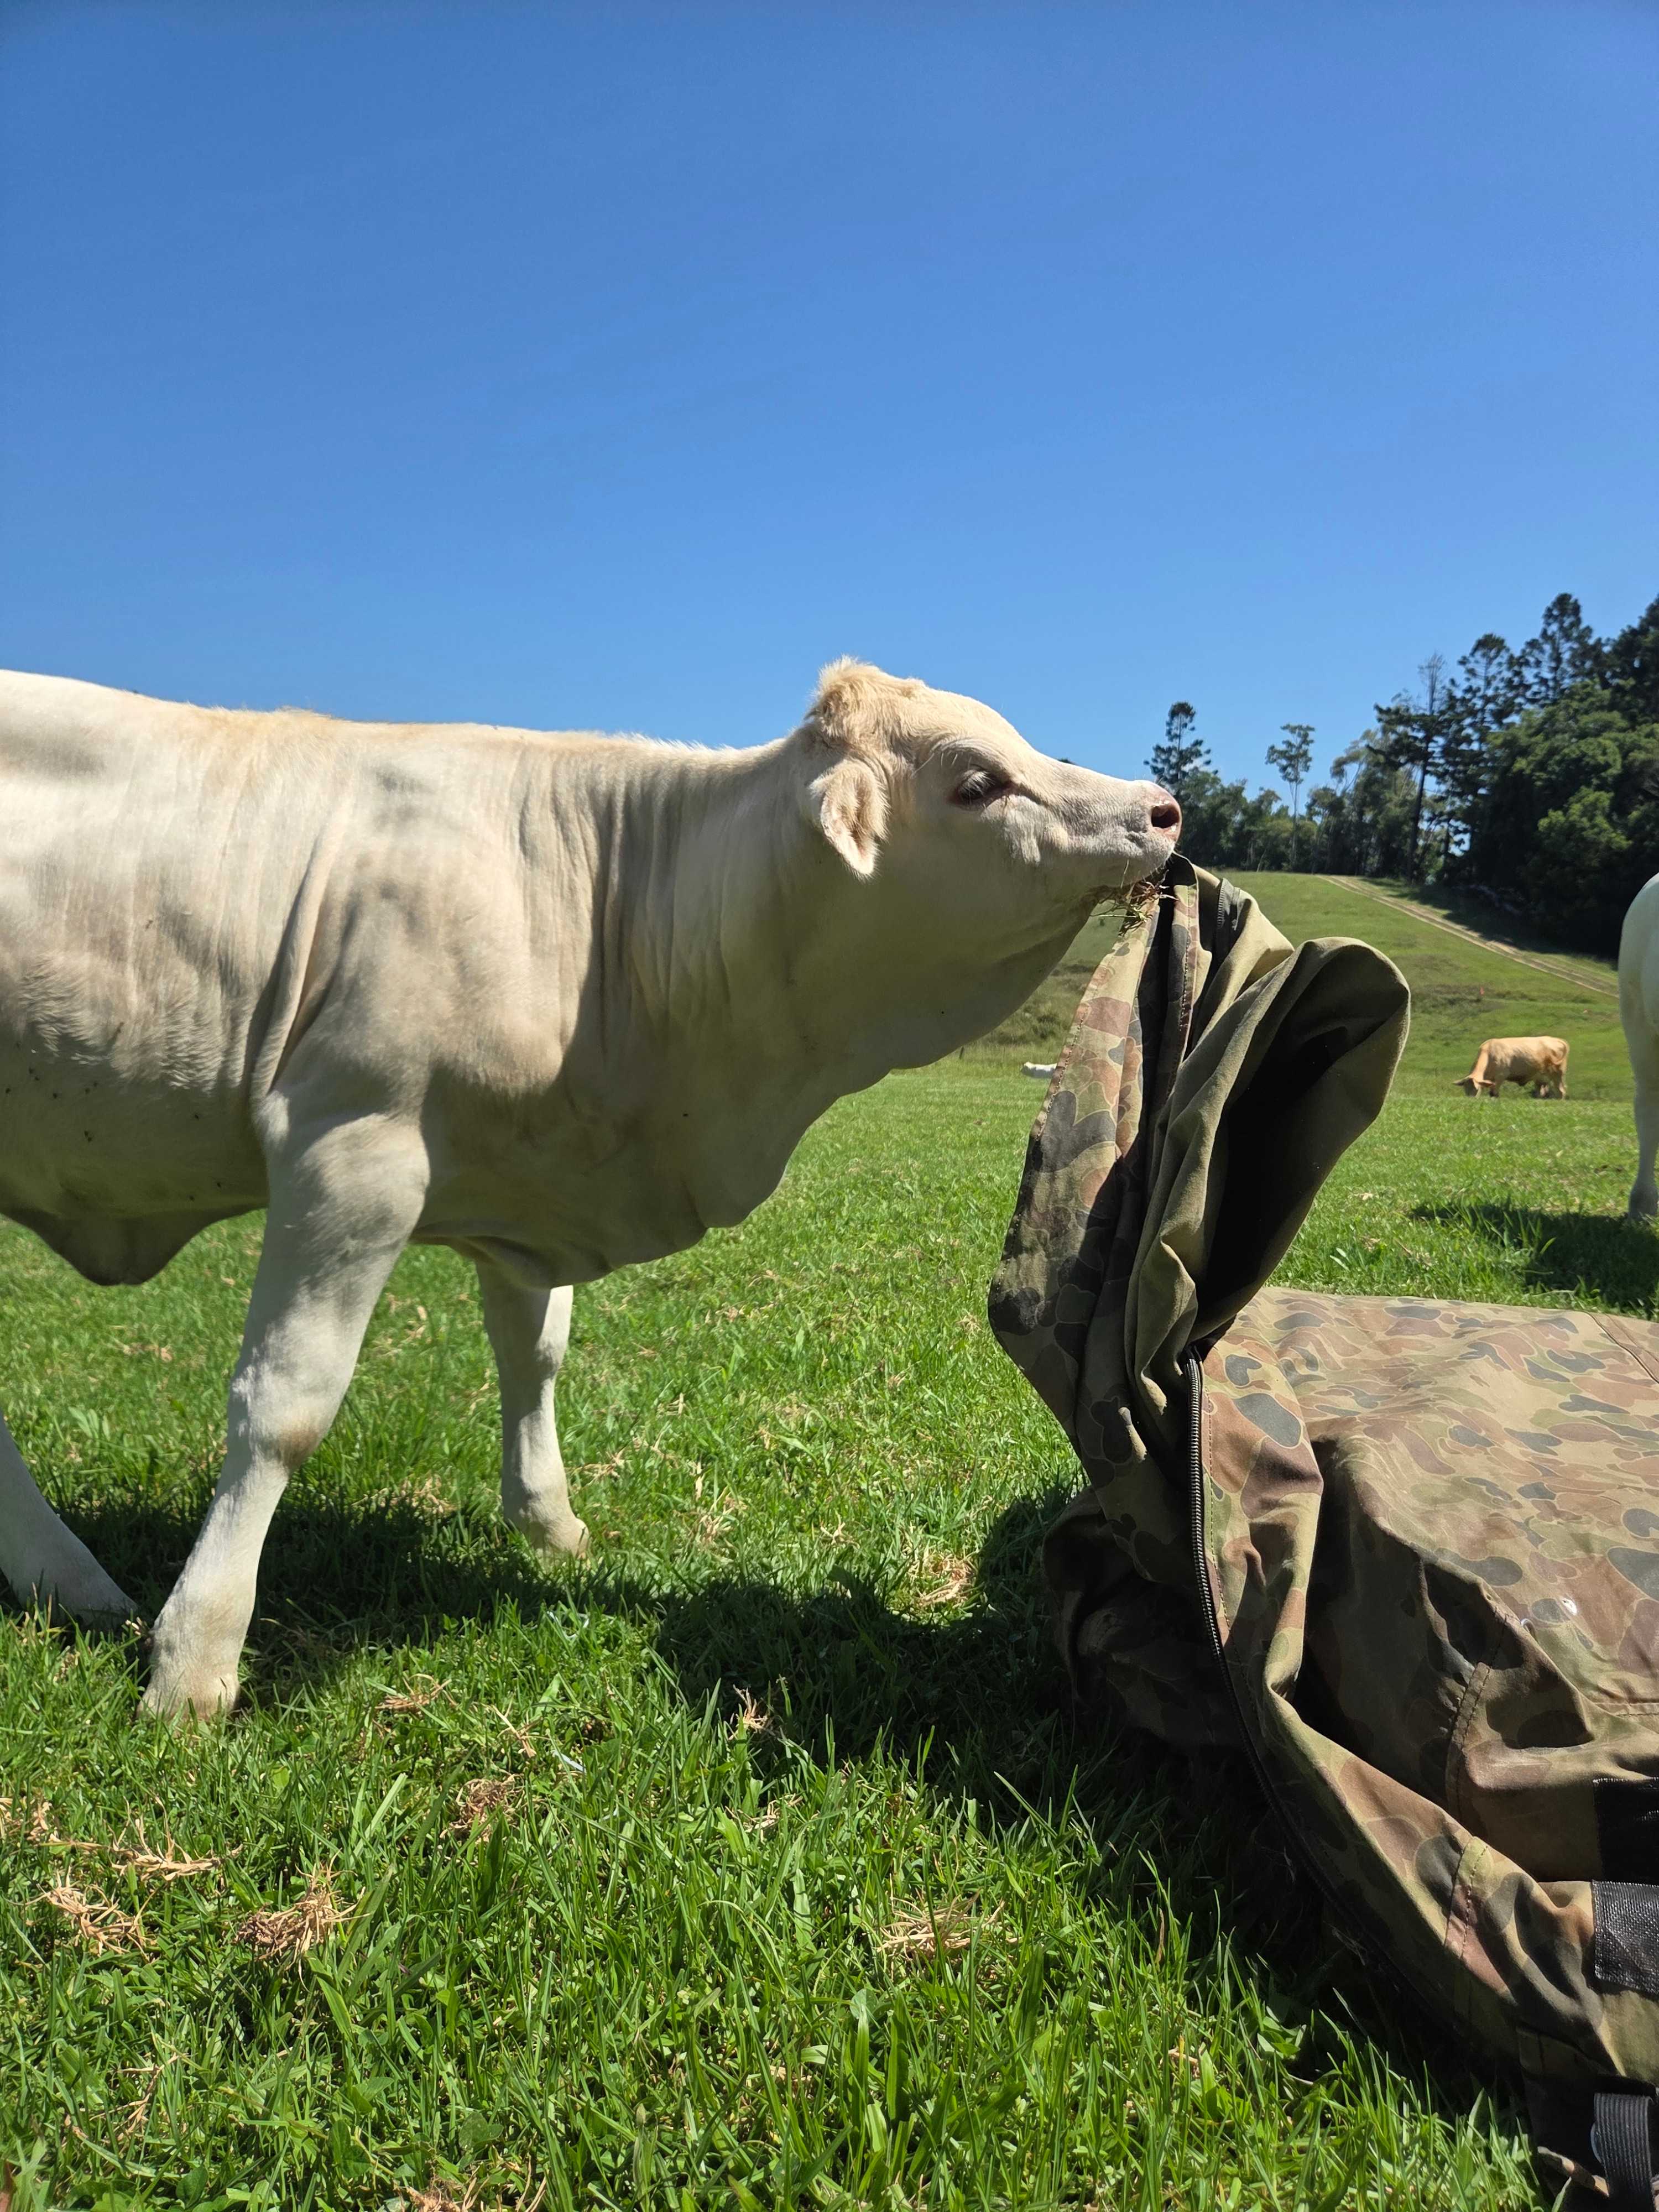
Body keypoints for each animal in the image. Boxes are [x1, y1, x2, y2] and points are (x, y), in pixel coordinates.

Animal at [0, 658, 1180, 1716]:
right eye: (976, 781)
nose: (1162, 810)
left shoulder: (518, 1179)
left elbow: (536, 1353)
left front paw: (551, 1526)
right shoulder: (353, 1146)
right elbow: (285, 1405)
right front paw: (195, 1660)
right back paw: (85, 1585)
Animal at [1454, 1036, 1569, 1099]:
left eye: (1476, 1089)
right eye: (1465, 1089)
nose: (1471, 1100)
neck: (1490, 1052)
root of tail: (1557, 1040)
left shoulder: (1501, 1076)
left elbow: (1494, 1093)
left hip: (1558, 1075)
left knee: (1561, 1091)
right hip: (1541, 1078)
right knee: (1541, 1092)